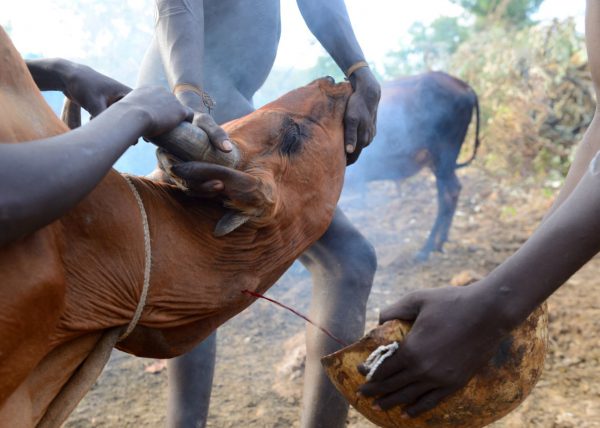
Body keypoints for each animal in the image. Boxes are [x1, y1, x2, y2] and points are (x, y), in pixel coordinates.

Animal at [344, 71, 480, 260]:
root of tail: (463, 85)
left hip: (443, 155)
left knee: (449, 193)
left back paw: (426, 249)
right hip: (439, 163)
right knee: (449, 192)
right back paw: (440, 241)